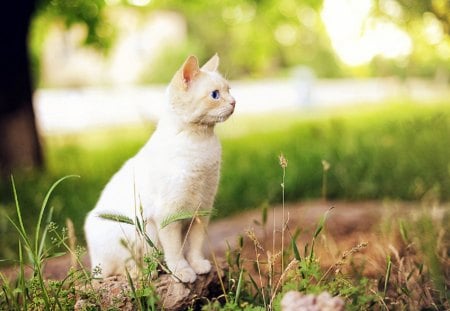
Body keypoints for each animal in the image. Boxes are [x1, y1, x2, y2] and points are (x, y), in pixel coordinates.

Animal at [83, 54, 236, 284]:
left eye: (229, 90)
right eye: (215, 95)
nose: (234, 102)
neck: (201, 140)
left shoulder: (201, 211)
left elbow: (195, 246)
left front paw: (198, 265)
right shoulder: (169, 215)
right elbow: (175, 252)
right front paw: (182, 272)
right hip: (136, 236)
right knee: (120, 269)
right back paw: (145, 272)